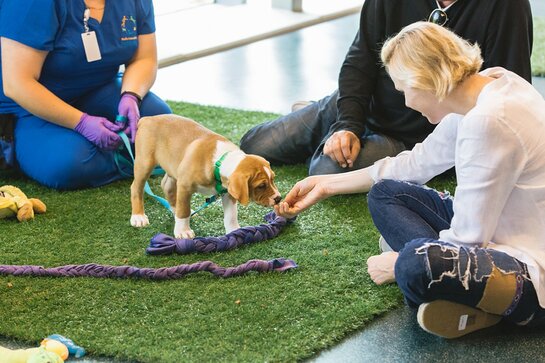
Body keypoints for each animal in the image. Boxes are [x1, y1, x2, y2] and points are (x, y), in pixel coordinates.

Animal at [129, 114, 280, 239]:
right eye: (261, 186)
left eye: (273, 179)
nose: (278, 198)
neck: (220, 161)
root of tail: (148, 119)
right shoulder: (184, 186)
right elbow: (184, 210)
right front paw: (183, 231)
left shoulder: (228, 192)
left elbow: (231, 215)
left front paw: (235, 231)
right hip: (144, 163)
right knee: (136, 187)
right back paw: (138, 217)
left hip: (173, 167)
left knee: (166, 186)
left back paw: (174, 209)